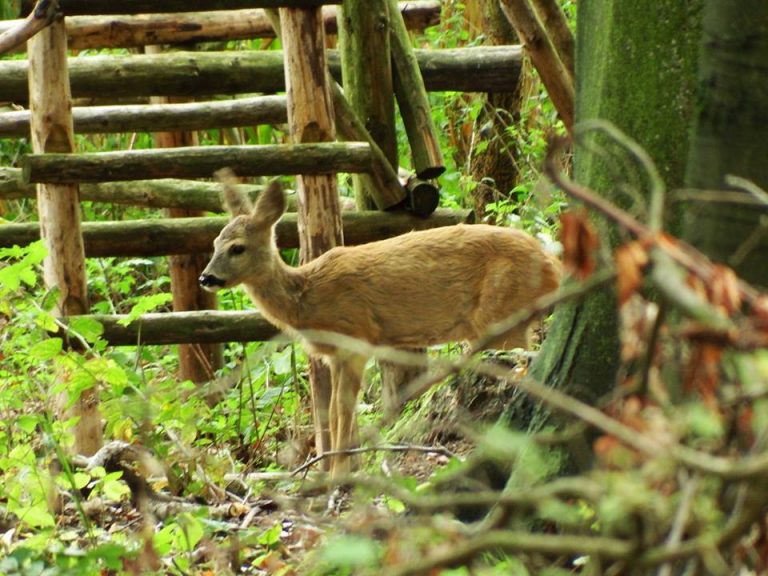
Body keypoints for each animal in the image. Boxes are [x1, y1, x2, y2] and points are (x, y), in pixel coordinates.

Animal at [198, 176, 560, 476]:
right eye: (213, 244)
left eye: (237, 248)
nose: (206, 277)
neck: (308, 298)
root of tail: (552, 266)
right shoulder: (335, 355)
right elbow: (332, 411)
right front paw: (329, 470)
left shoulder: (357, 336)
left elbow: (343, 408)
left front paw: (339, 473)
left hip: (501, 314)